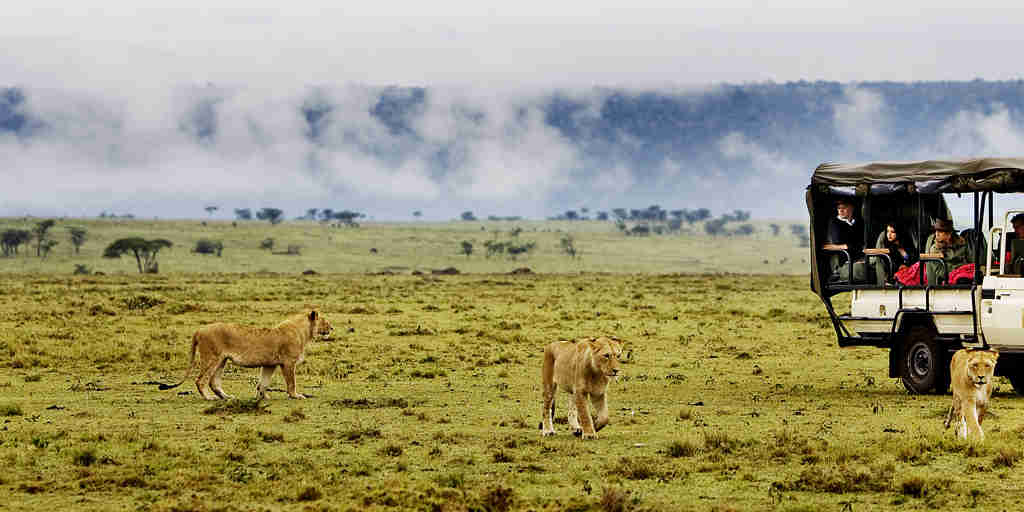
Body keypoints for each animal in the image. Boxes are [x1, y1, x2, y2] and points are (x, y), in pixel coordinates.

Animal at [159, 310, 333, 400]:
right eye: (324, 321)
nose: (332, 328)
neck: (304, 332)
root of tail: (199, 330)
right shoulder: (288, 363)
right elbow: (291, 382)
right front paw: (296, 395)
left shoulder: (269, 364)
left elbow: (263, 382)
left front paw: (263, 397)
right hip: (211, 358)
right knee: (200, 380)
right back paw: (209, 398)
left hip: (222, 360)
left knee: (214, 382)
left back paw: (227, 397)